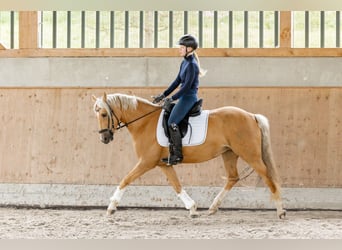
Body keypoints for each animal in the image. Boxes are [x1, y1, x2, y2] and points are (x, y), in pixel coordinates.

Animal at [91, 92, 286, 219]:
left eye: (104, 114)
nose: (104, 138)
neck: (144, 122)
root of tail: (251, 116)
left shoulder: (146, 162)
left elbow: (125, 179)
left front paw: (111, 208)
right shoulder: (164, 164)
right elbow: (177, 186)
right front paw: (192, 208)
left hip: (250, 154)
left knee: (267, 175)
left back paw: (281, 210)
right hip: (229, 154)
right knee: (233, 178)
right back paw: (213, 207)